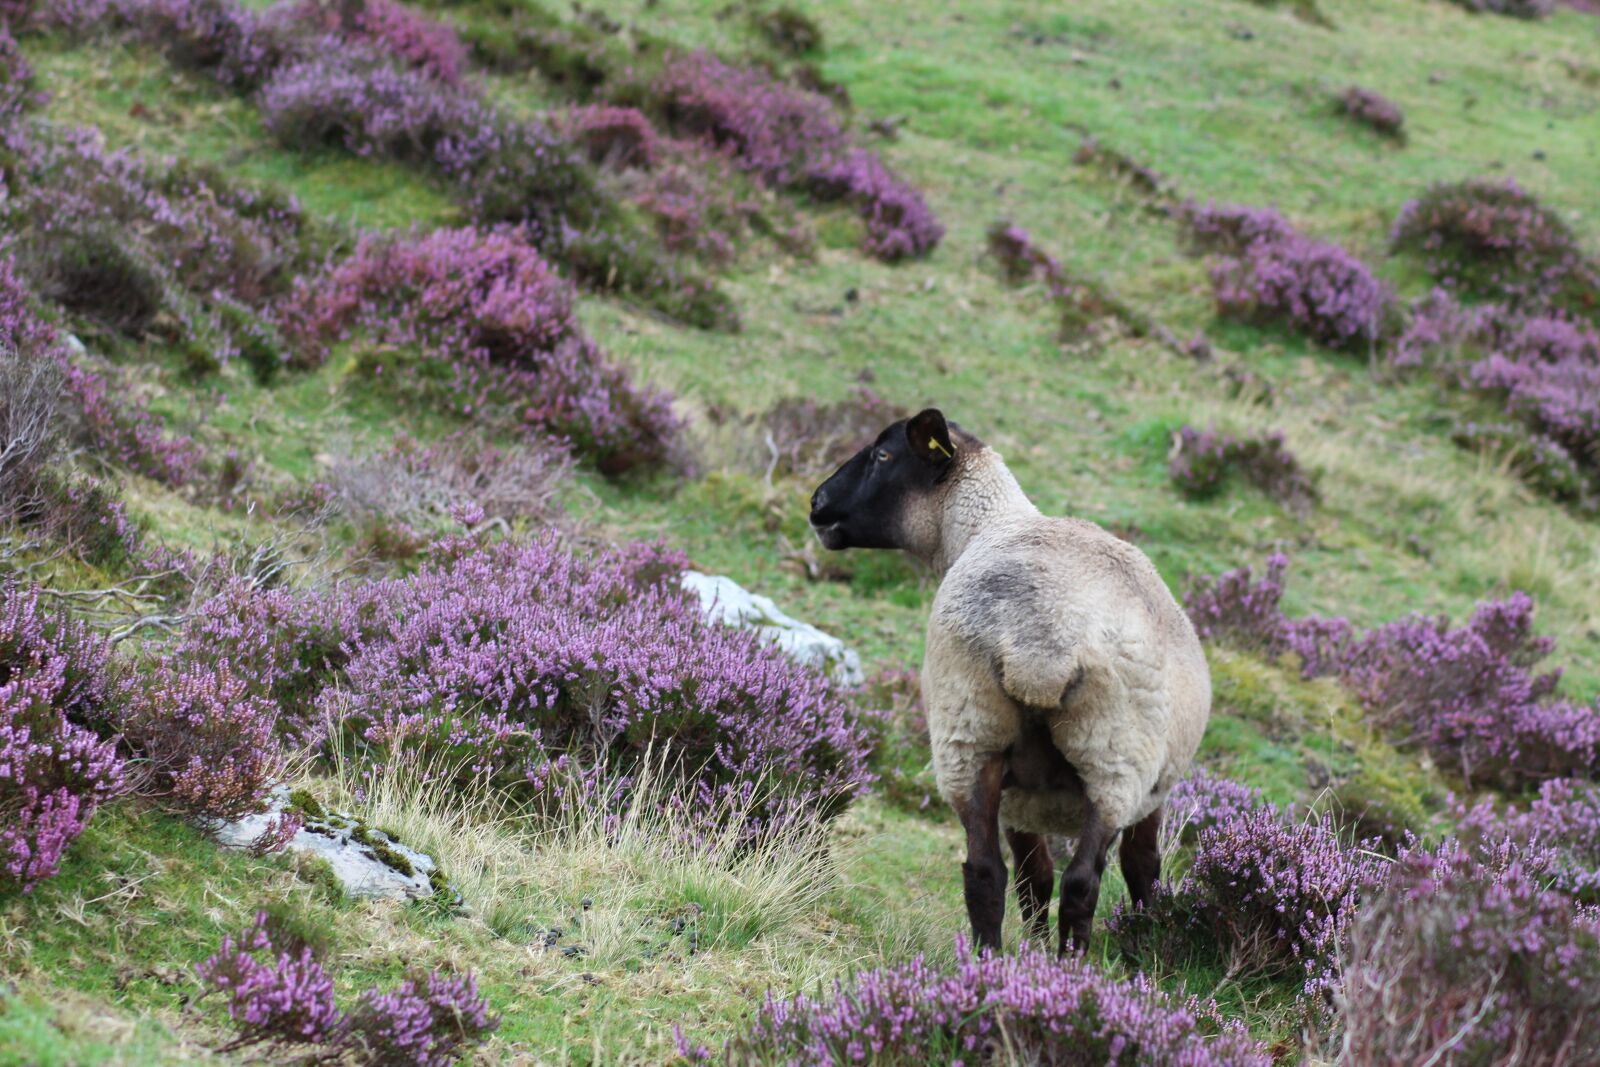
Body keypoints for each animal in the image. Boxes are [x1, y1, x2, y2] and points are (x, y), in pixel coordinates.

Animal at [809, 408, 1211, 953]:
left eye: (884, 454)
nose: (817, 504)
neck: (985, 525)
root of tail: (1040, 648)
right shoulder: (1143, 788)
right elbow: (1135, 867)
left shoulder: (1022, 793)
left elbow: (1033, 874)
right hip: (1114, 760)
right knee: (1082, 881)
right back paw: (1066, 965)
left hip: (971, 734)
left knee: (986, 871)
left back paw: (991, 959)